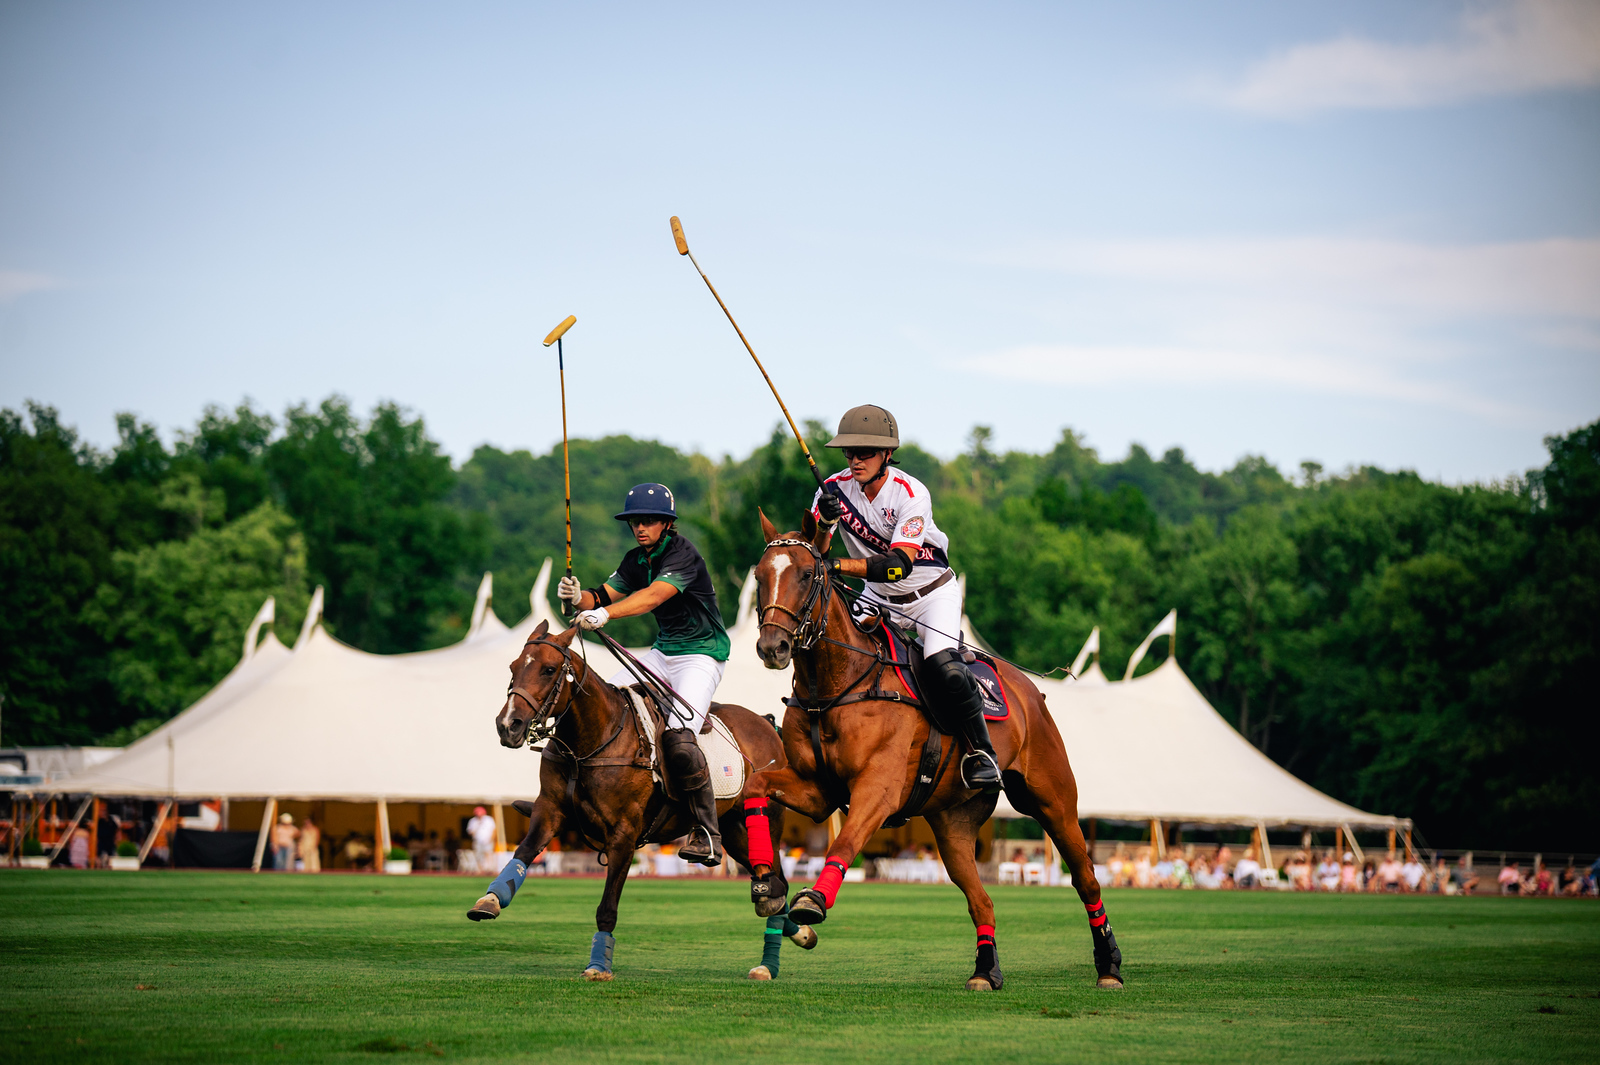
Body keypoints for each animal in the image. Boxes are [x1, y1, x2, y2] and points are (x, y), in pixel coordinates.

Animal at [464, 623, 812, 978]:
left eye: (549, 669)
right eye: (513, 668)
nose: (508, 725)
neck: (588, 743)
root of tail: (766, 723)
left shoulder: (624, 833)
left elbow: (607, 906)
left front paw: (598, 965)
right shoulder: (549, 810)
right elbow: (524, 851)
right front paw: (490, 900)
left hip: (763, 823)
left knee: (776, 879)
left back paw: (770, 959)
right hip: (734, 832)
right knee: (772, 884)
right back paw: (797, 932)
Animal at [739, 511, 1126, 991]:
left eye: (808, 574)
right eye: (760, 576)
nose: (772, 647)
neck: (834, 685)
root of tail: (1031, 691)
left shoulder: (878, 791)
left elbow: (846, 840)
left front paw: (812, 900)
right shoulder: (818, 792)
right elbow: (755, 785)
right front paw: (767, 885)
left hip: (1053, 801)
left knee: (1086, 879)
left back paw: (1109, 965)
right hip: (953, 823)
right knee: (981, 900)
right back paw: (985, 971)